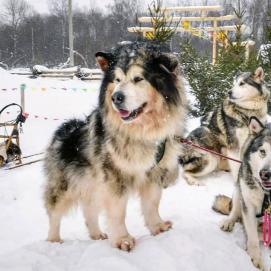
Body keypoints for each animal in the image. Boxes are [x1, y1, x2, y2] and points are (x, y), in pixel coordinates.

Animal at [43, 41, 187, 252]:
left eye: (138, 79)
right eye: (117, 80)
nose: (116, 97)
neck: (141, 133)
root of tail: (66, 128)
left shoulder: (154, 172)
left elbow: (152, 203)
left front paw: (157, 227)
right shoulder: (114, 177)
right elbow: (118, 212)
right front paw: (122, 239)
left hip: (92, 183)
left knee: (89, 210)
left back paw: (96, 234)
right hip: (64, 185)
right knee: (54, 214)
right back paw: (53, 241)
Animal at [219, 118, 271, 270]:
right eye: (262, 151)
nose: (265, 174)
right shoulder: (248, 204)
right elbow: (252, 236)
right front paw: (256, 258)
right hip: (239, 191)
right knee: (235, 211)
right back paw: (229, 222)